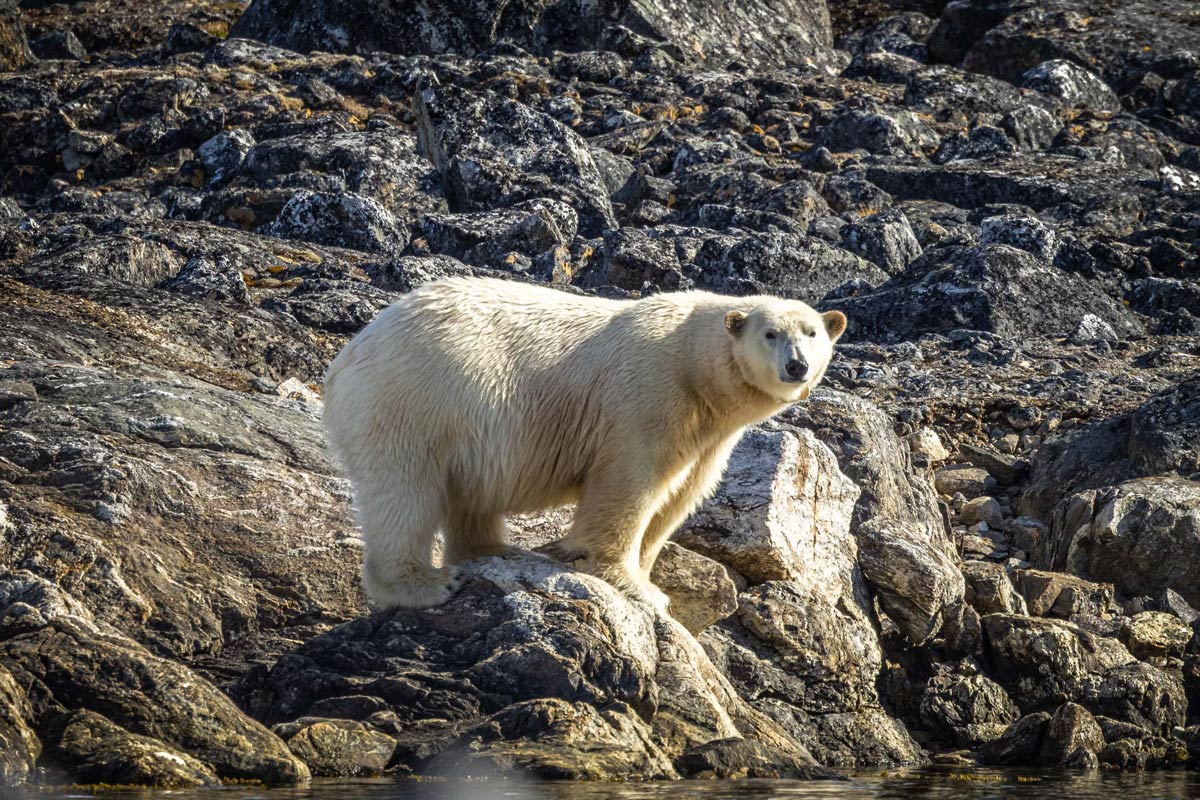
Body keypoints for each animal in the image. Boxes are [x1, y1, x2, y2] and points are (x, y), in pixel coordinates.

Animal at [323, 276, 847, 611]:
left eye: (812, 332)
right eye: (770, 333)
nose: (797, 366)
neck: (695, 365)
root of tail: (349, 355)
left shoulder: (710, 435)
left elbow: (681, 496)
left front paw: (647, 571)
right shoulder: (647, 396)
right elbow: (630, 483)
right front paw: (636, 586)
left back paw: (495, 550)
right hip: (414, 401)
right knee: (405, 491)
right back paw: (425, 584)